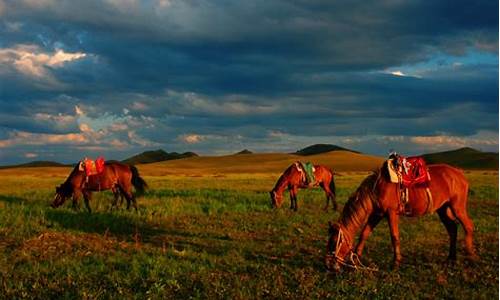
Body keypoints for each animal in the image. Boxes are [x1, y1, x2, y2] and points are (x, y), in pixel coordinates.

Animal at [324, 163, 476, 270]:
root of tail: (459, 174)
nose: (328, 265)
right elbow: (364, 234)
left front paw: (396, 263)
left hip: (457, 207)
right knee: (452, 229)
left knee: (468, 226)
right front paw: (355, 259)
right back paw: (451, 259)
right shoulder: (377, 214)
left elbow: (394, 237)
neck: (376, 189)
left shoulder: (391, 213)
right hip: (443, 209)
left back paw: (470, 258)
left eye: (334, 241)